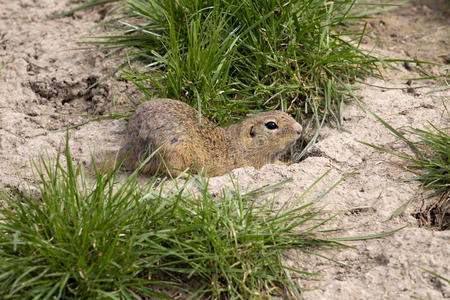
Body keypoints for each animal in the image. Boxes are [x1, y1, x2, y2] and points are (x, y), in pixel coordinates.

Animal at [118, 98, 302, 178]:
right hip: (173, 152)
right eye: (271, 125)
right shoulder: (257, 163)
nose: (300, 129)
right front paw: (288, 163)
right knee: (171, 171)